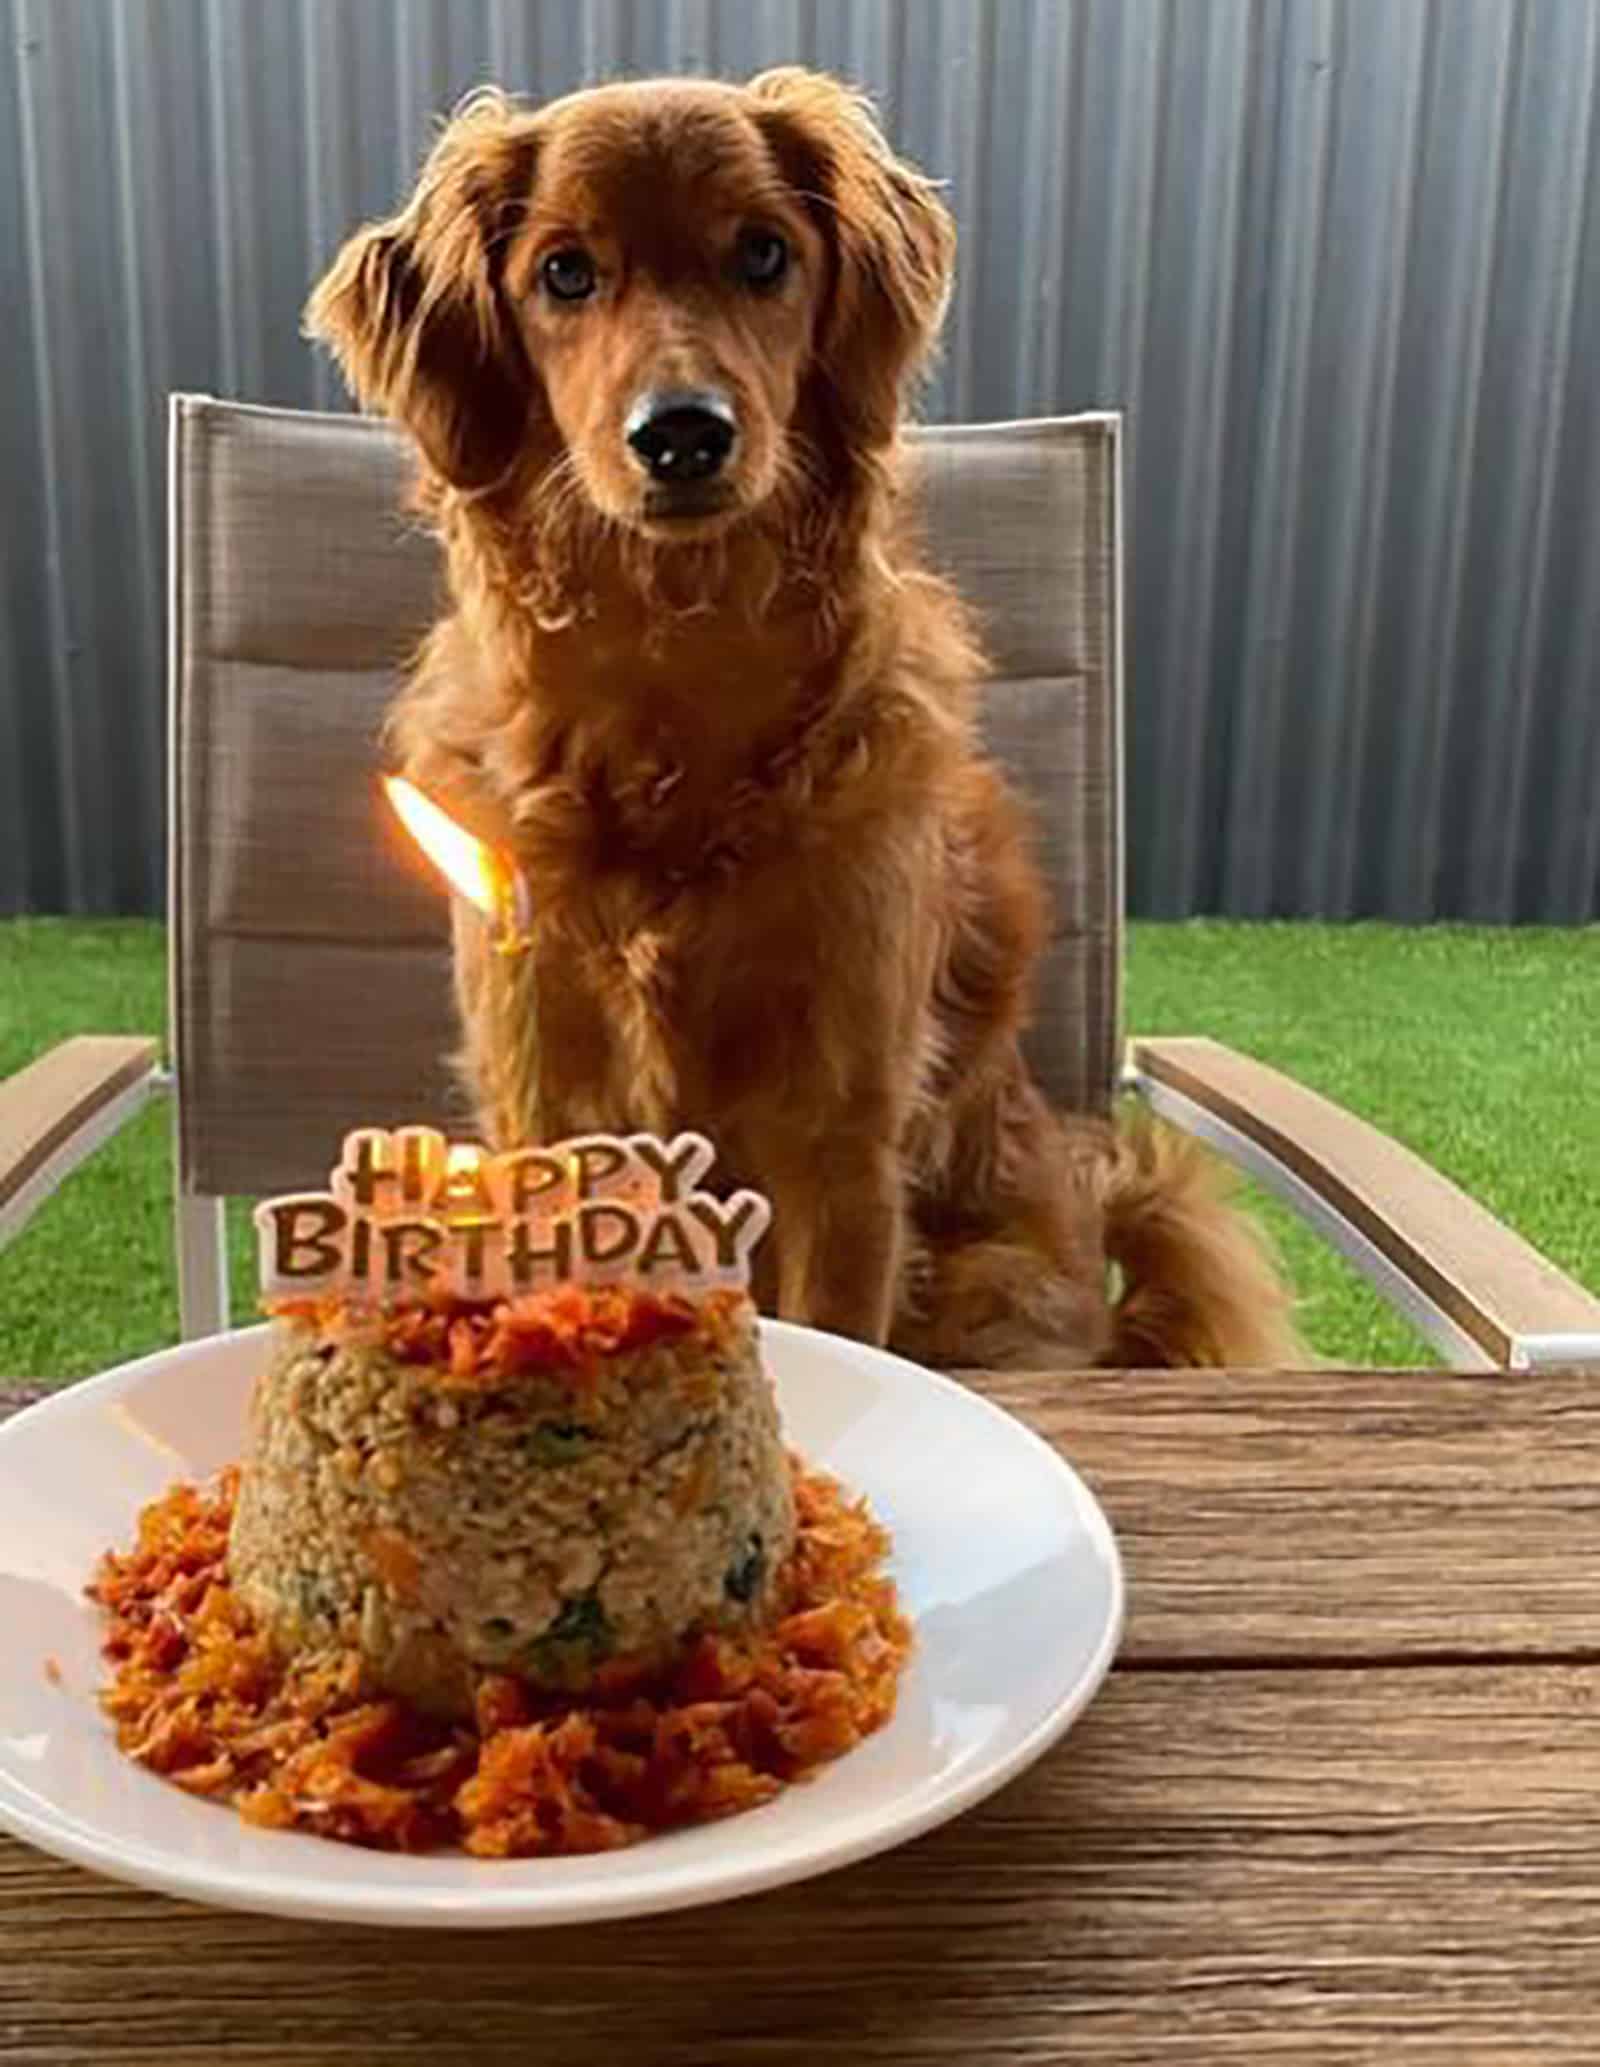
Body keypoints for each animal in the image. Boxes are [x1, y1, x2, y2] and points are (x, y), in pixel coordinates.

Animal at [303, 64, 1306, 1364]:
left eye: (763, 253)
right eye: (564, 272)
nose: (682, 433)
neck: (672, 687)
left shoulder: (840, 1143)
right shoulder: (543, 1094)